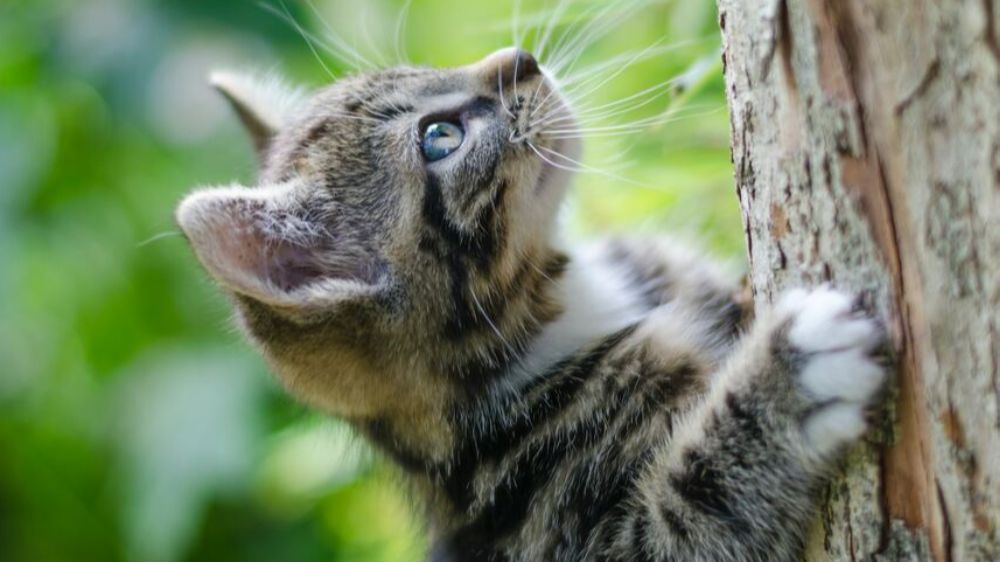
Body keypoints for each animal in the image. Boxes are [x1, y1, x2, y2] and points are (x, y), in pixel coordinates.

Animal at [176, 48, 888, 560]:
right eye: (440, 137)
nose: (519, 58)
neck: (571, 301)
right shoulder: (554, 521)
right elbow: (689, 514)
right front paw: (790, 376)